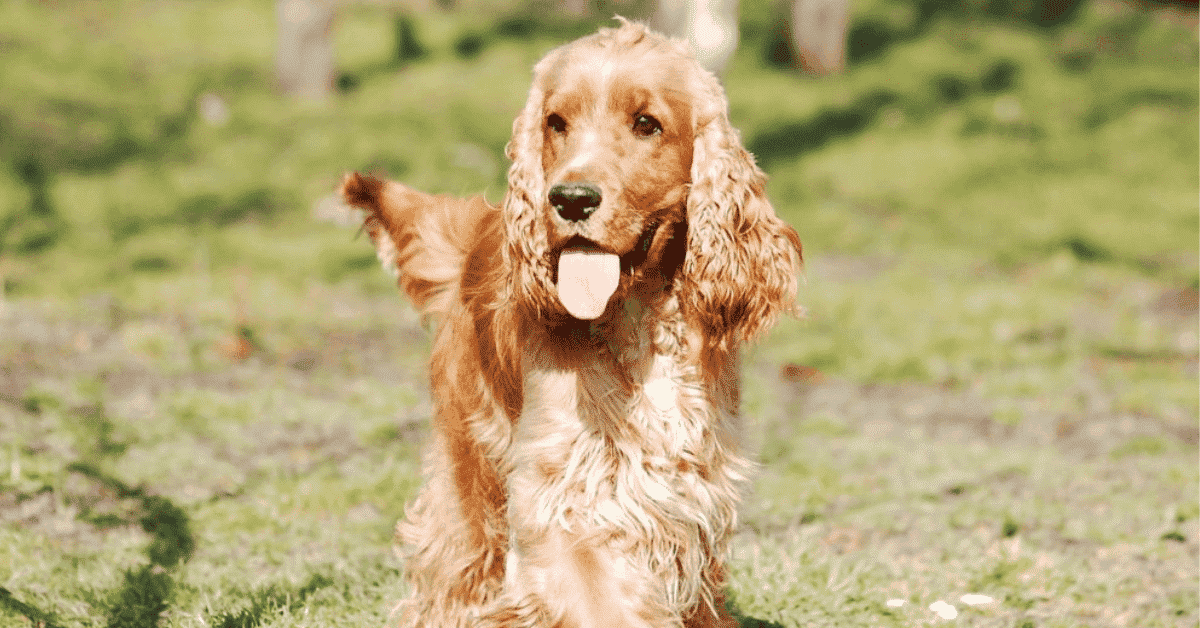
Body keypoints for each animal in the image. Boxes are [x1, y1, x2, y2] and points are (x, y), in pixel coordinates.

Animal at [343, 19, 801, 628]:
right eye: (556, 123)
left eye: (646, 124)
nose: (570, 199)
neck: (639, 323)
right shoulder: (561, 499)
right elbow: (603, 602)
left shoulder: (692, 494)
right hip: (471, 461)